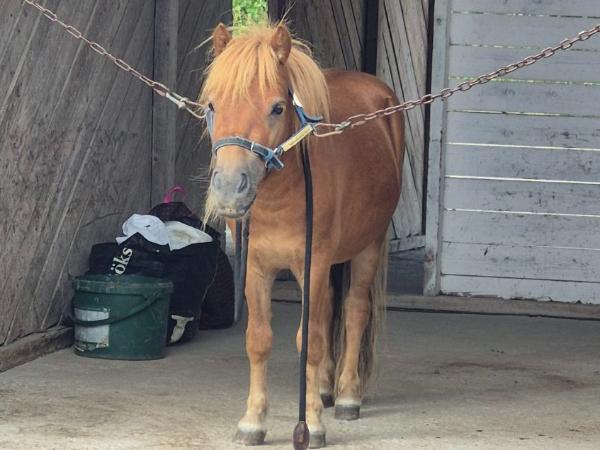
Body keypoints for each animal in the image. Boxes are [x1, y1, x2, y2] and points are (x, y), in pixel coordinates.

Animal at [200, 22, 405, 448]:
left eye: (277, 107)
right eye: (212, 105)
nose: (228, 191)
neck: (280, 194)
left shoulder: (314, 264)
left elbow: (308, 341)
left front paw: (310, 424)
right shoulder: (257, 267)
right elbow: (259, 339)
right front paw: (253, 421)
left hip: (369, 246)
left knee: (354, 311)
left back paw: (346, 396)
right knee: (328, 314)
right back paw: (325, 389)